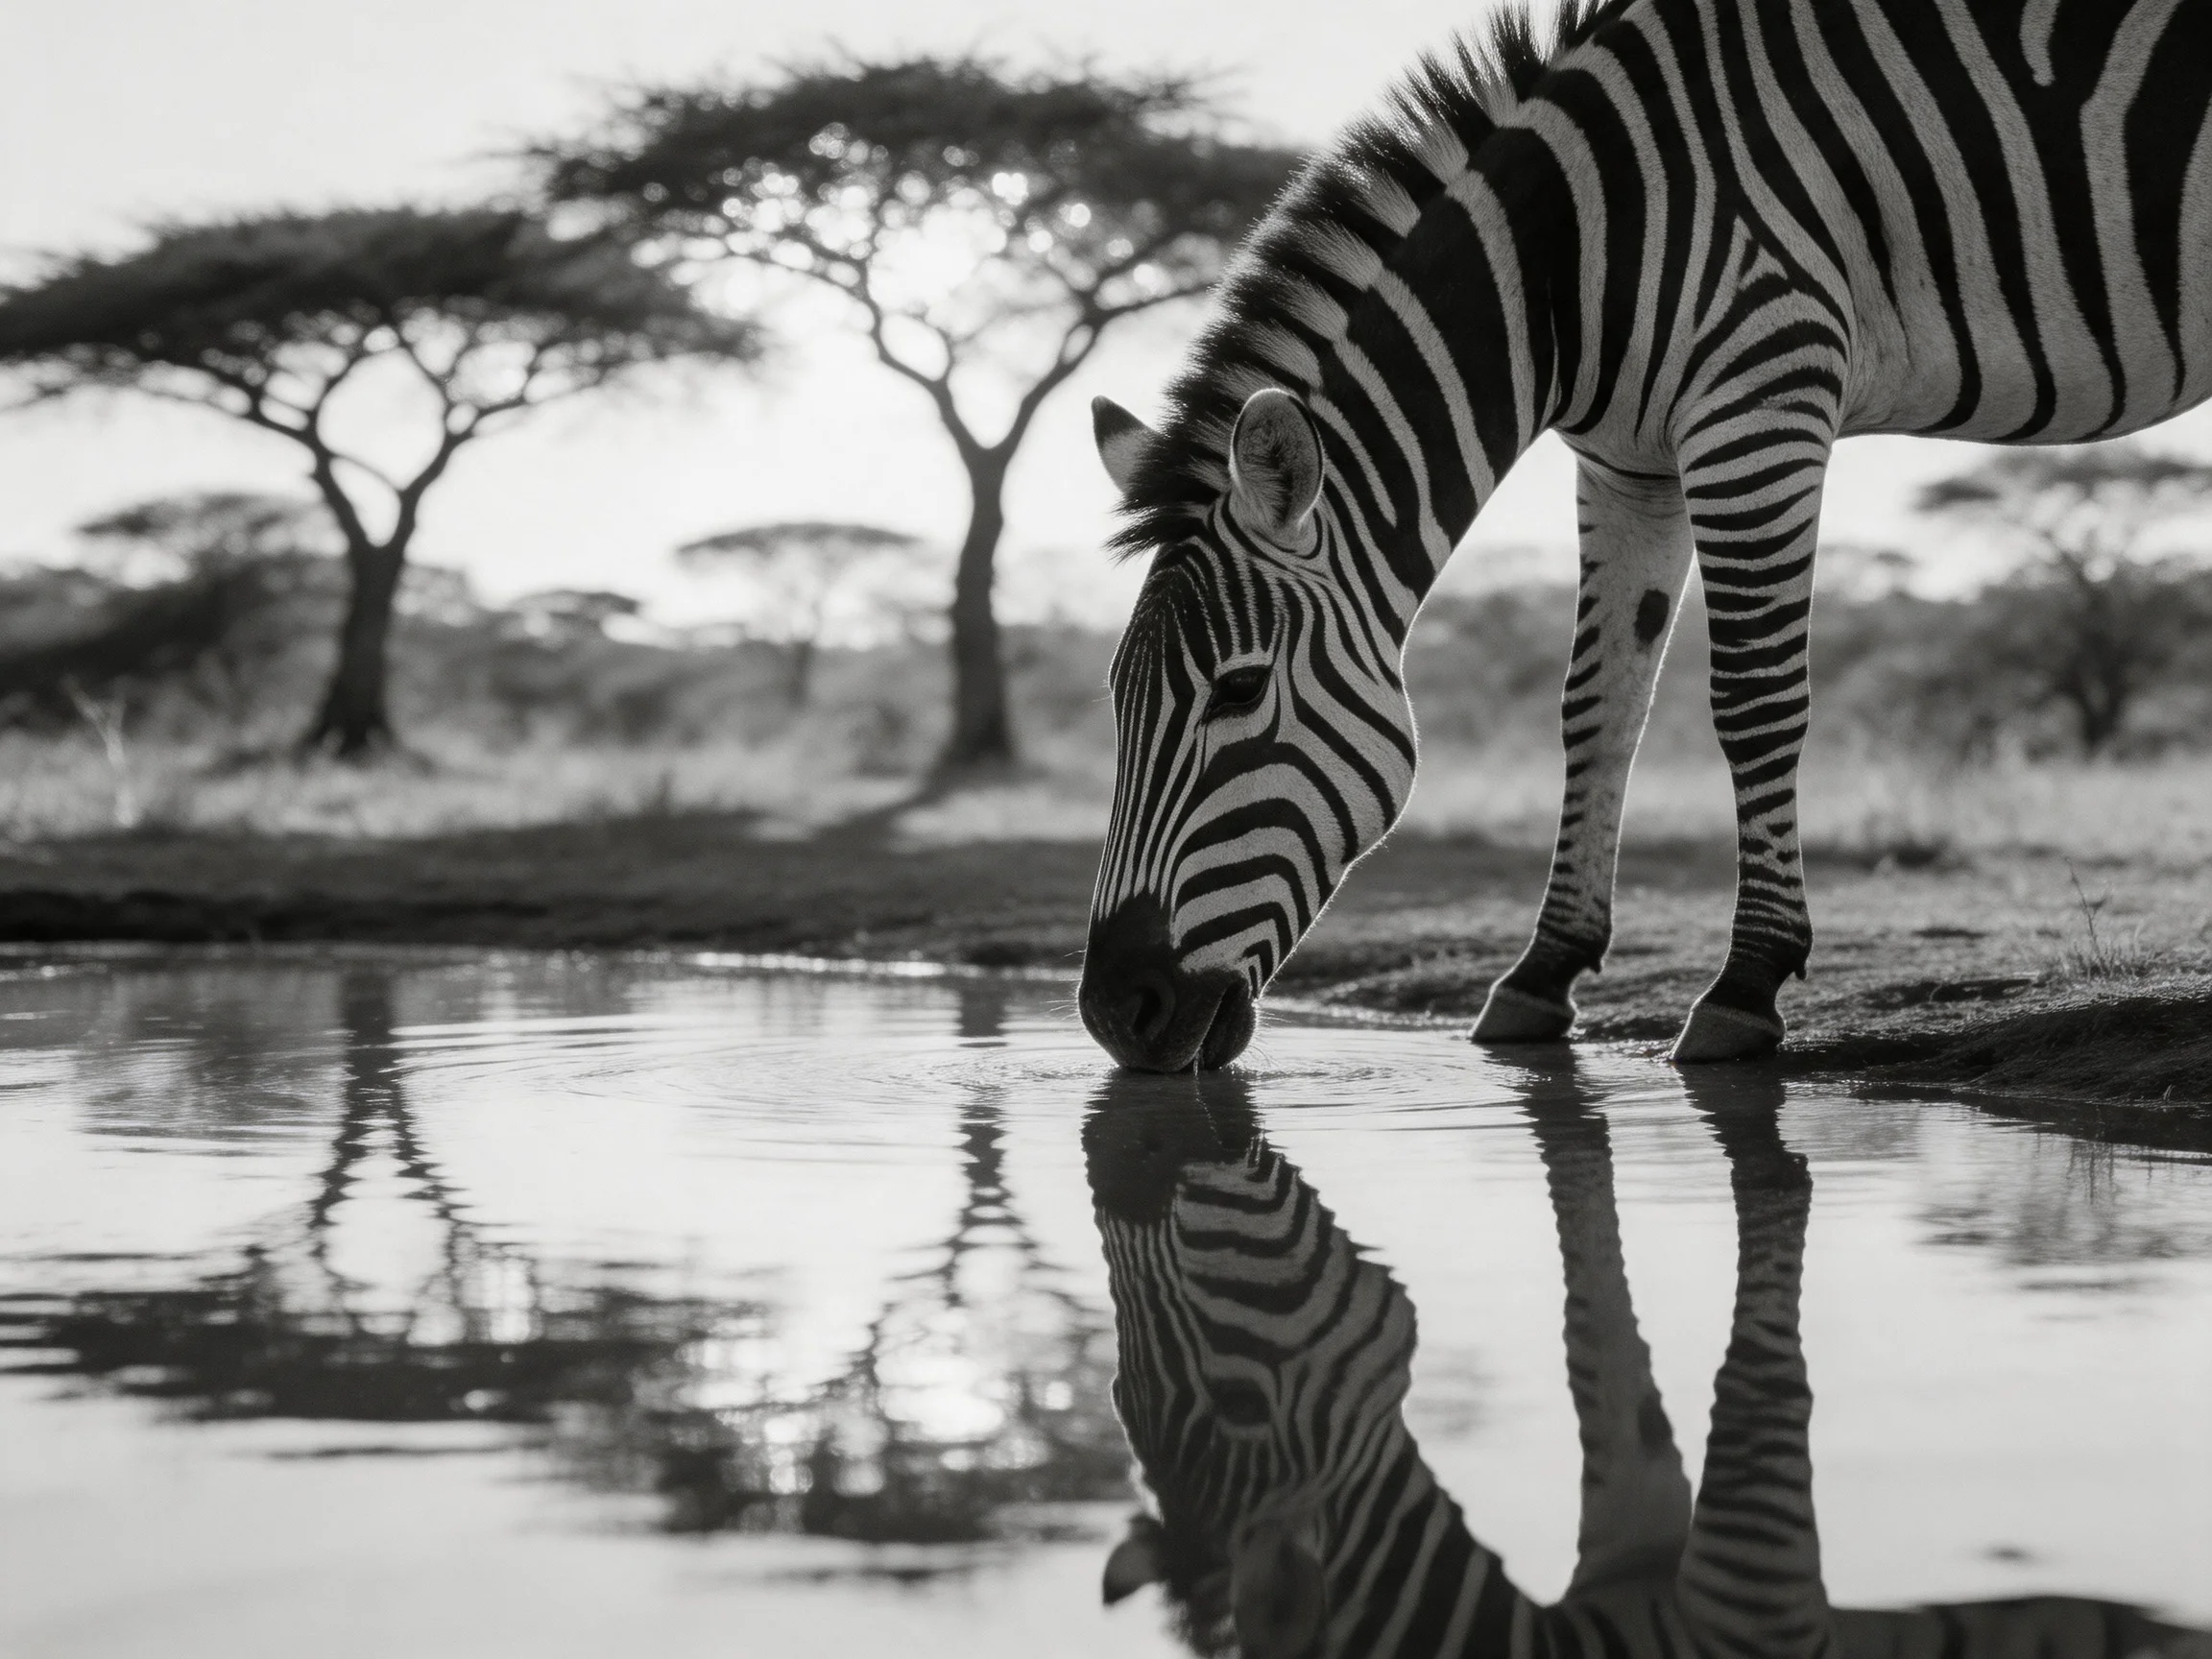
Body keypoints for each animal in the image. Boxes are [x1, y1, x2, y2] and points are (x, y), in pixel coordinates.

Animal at [1077, 0, 2212, 1070]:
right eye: (1115, 697)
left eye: (1238, 690)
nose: (1114, 1015)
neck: (1569, 256)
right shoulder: (1631, 464)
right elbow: (1598, 706)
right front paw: (1542, 974)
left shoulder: (1763, 389)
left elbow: (1753, 700)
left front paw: (1747, 985)